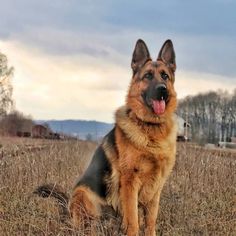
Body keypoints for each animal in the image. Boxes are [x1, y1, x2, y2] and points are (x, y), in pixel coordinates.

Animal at [34, 39, 177, 236]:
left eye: (165, 76)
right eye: (148, 76)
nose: (162, 90)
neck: (151, 130)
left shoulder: (155, 189)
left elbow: (150, 222)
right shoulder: (130, 183)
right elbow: (133, 221)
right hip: (83, 193)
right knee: (85, 224)